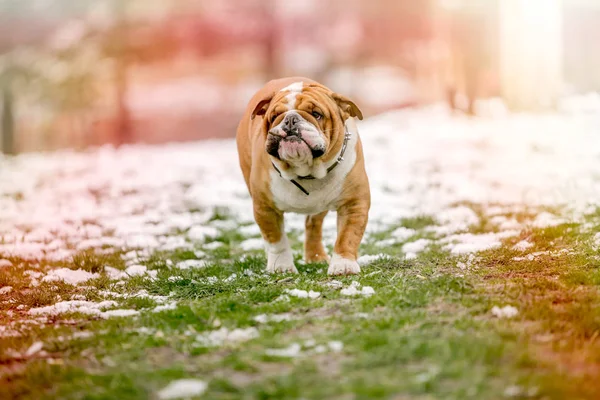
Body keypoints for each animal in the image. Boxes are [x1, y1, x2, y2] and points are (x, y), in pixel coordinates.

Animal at [236, 76, 368, 274]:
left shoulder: (354, 203)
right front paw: (281, 267)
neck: (305, 170)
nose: (290, 119)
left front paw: (343, 265)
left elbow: (348, 236)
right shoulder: (265, 208)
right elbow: (276, 240)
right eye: (274, 116)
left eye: (317, 114)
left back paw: (316, 257)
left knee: (313, 226)